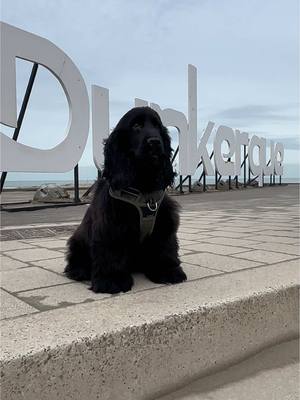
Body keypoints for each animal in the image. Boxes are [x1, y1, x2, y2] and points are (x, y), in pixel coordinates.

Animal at [64, 107, 186, 294]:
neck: (143, 185)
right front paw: (111, 281)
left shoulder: (164, 223)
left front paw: (168, 271)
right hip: (77, 240)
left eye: (157, 127)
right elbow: (111, 252)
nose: (155, 142)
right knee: (75, 260)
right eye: (136, 126)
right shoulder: (111, 226)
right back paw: (79, 271)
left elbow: (165, 248)